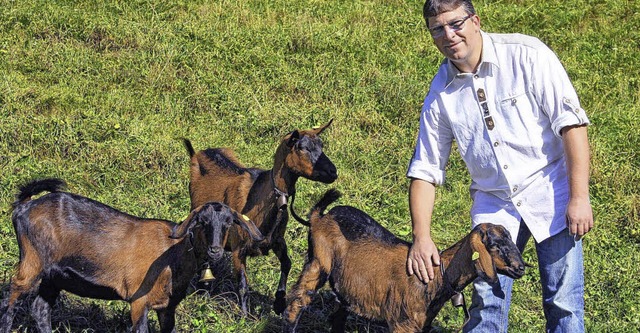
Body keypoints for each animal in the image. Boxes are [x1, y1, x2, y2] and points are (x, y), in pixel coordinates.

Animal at [0, 179, 262, 332]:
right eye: (202, 222)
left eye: (228, 223)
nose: (214, 250)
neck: (172, 256)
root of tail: (24, 207)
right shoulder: (138, 301)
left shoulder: (168, 307)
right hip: (32, 262)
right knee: (9, 301)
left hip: (54, 276)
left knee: (40, 309)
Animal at [182, 120, 338, 314]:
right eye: (302, 148)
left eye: (321, 145)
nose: (333, 172)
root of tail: (196, 154)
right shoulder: (238, 248)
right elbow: (243, 284)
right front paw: (244, 315)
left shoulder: (277, 240)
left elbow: (287, 263)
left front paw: (279, 302)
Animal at [282, 189, 524, 332]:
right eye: (494, 246)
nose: (520, 268)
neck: (438, 276)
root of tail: (320, 217)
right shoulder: (403, 323)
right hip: (318, 261)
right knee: (298, 300)